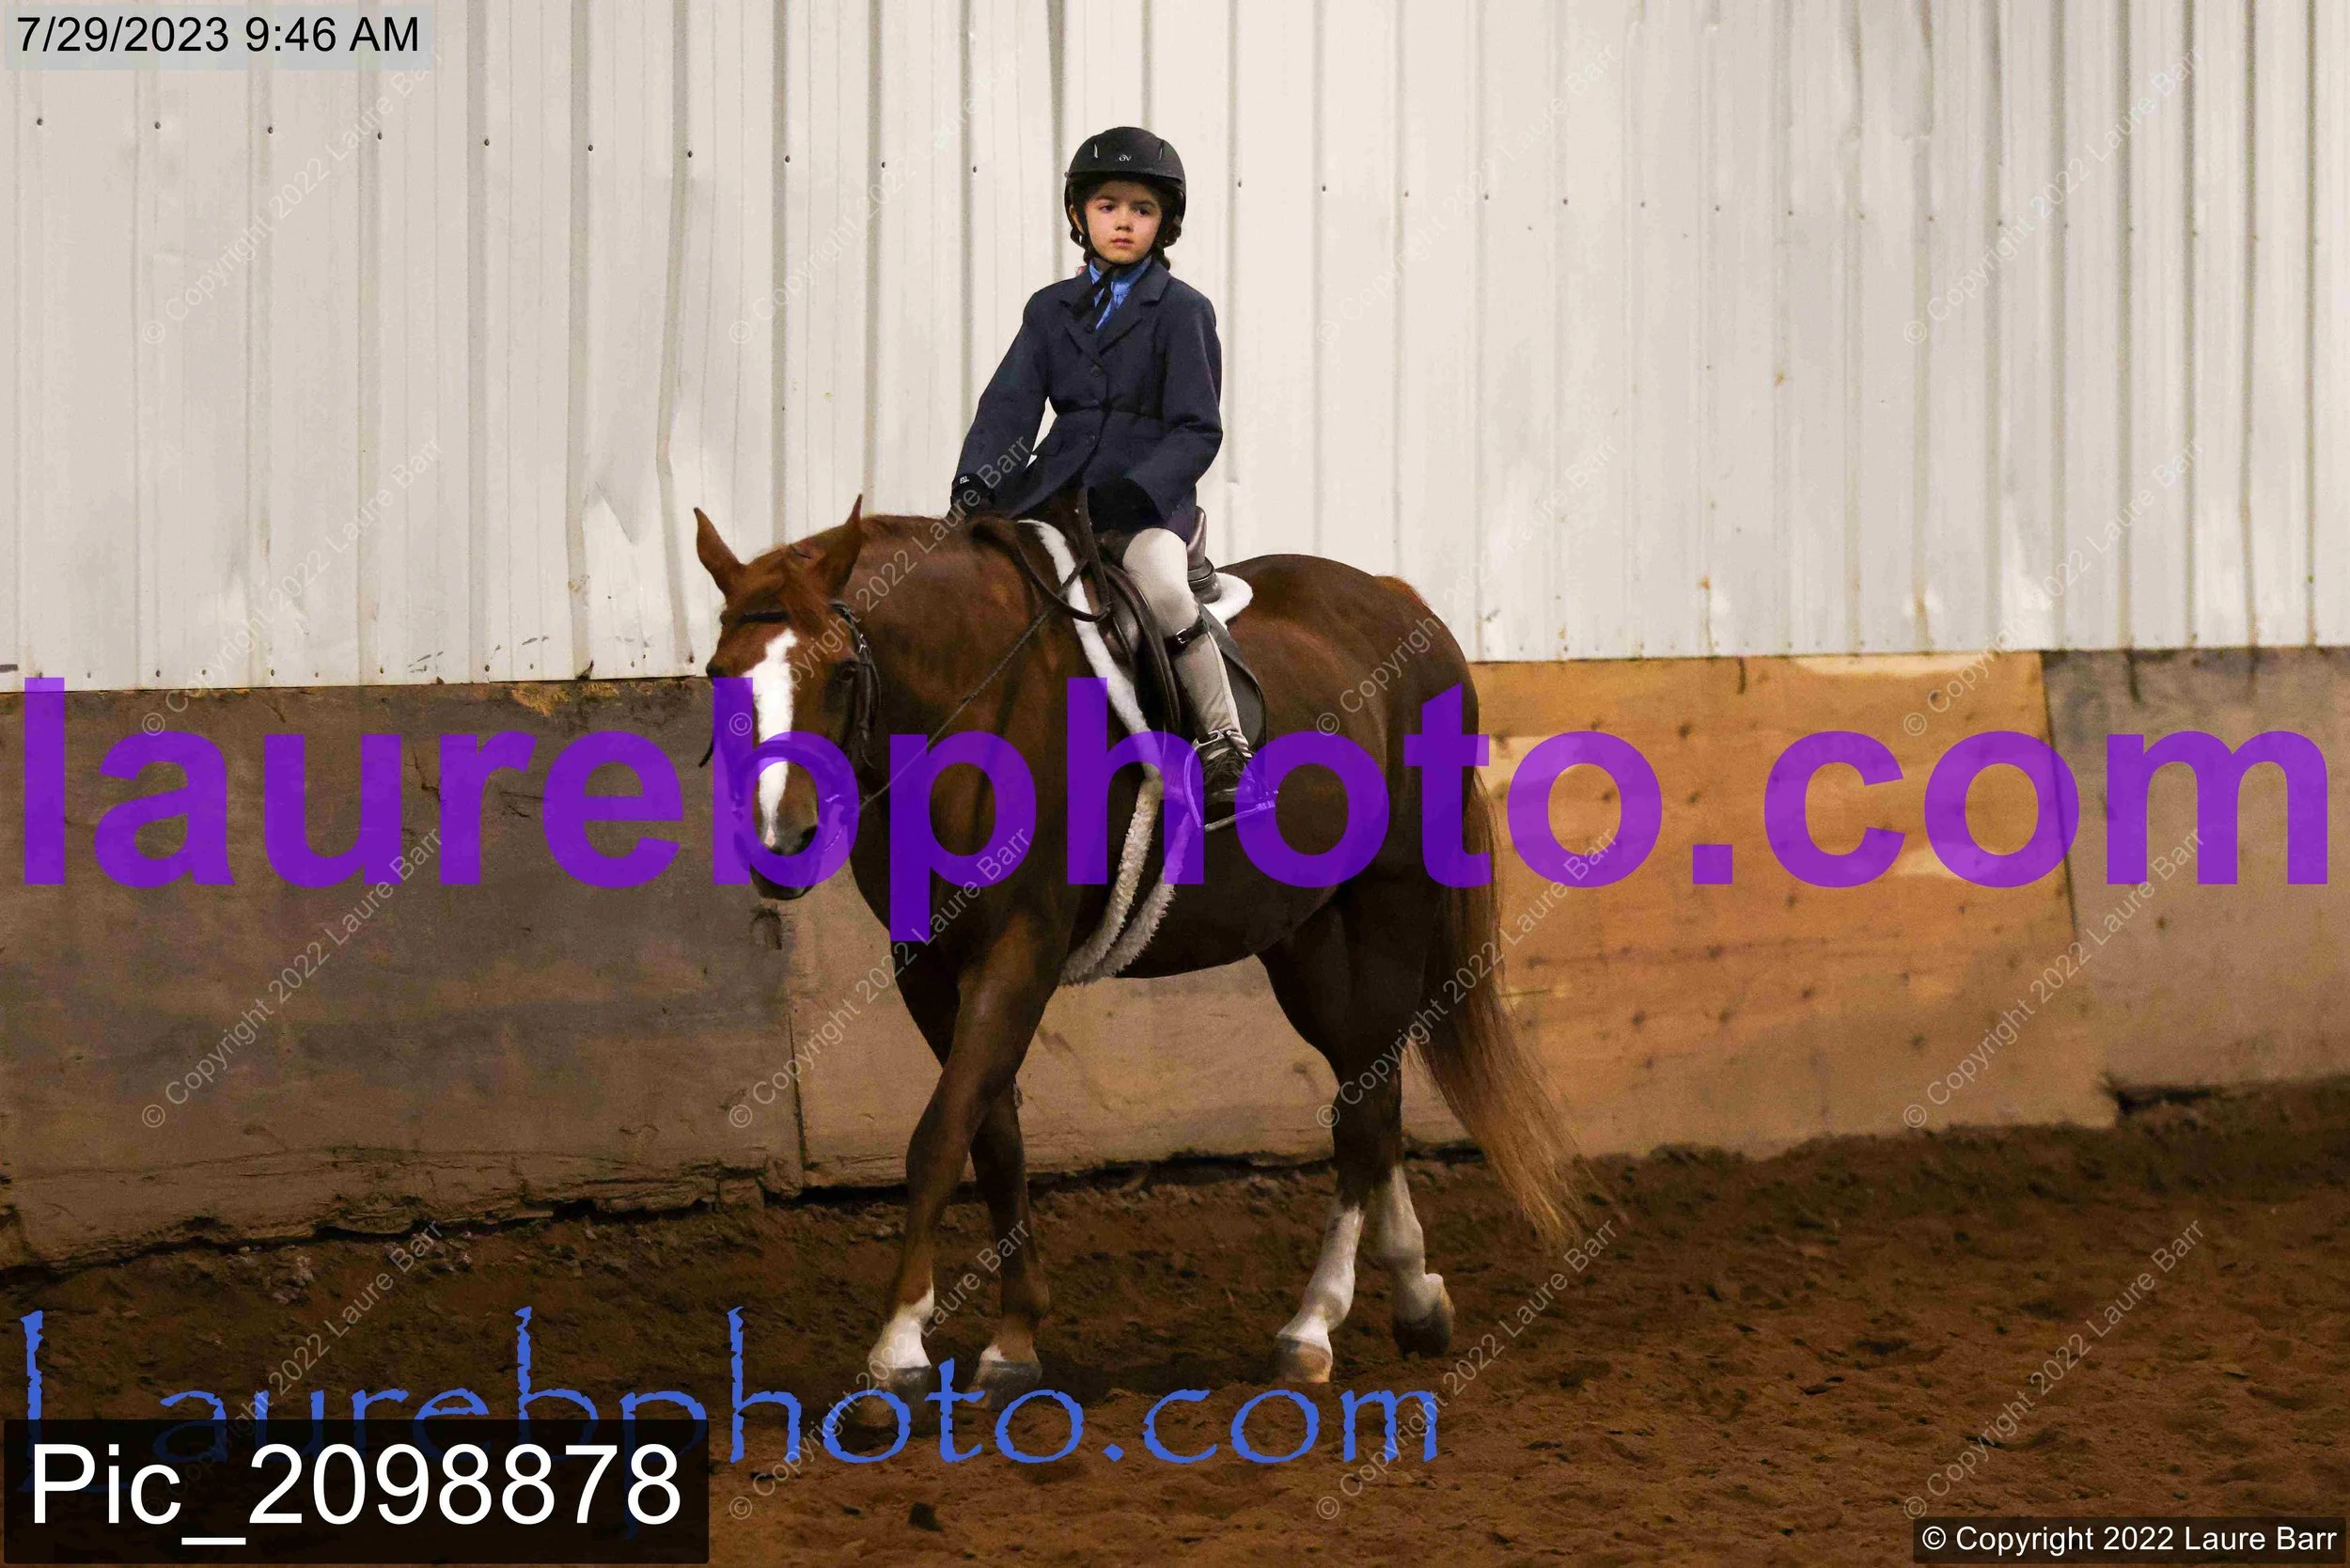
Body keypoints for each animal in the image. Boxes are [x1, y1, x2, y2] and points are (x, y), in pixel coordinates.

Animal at [695, 495, 1581, 1412]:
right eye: (719, 675)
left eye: (840, 672)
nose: (781, 842)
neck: (970, 706)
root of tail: (1405, 609)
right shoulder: (926, 963)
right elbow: (992, 1131)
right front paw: (1015, 1338)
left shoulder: (1020, 948)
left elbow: (941, 1134)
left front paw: (896, 1350)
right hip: (1304, 940)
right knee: (1370, 1081)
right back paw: (1414, 1296)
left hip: (1391, 903)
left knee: (1365, 1107)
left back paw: (1312, 1328)